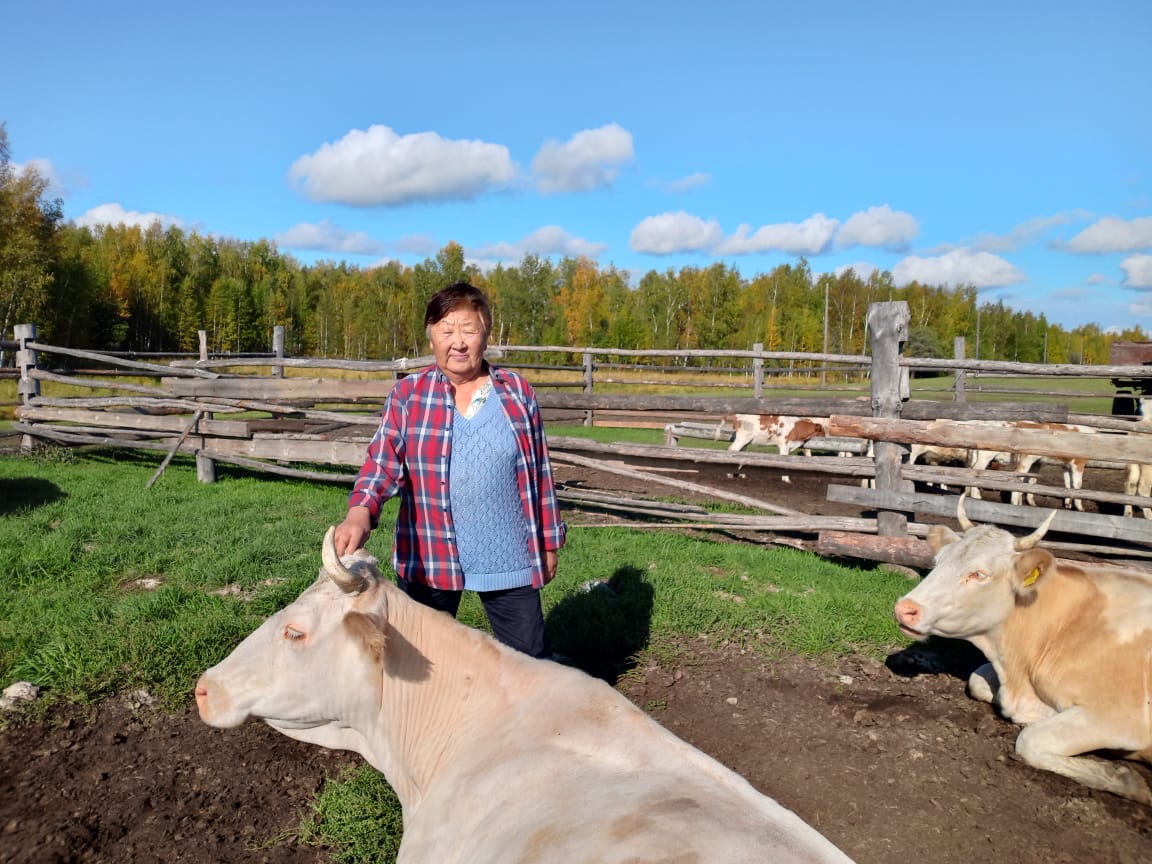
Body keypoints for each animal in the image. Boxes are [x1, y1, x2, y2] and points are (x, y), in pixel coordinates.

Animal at [893, 498, 1152, 804]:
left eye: (978, 574)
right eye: (938, 562)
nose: (904, 609)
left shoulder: (1122, 719)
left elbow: (1028, 741)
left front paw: (1130, 781)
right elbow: (978, 681)